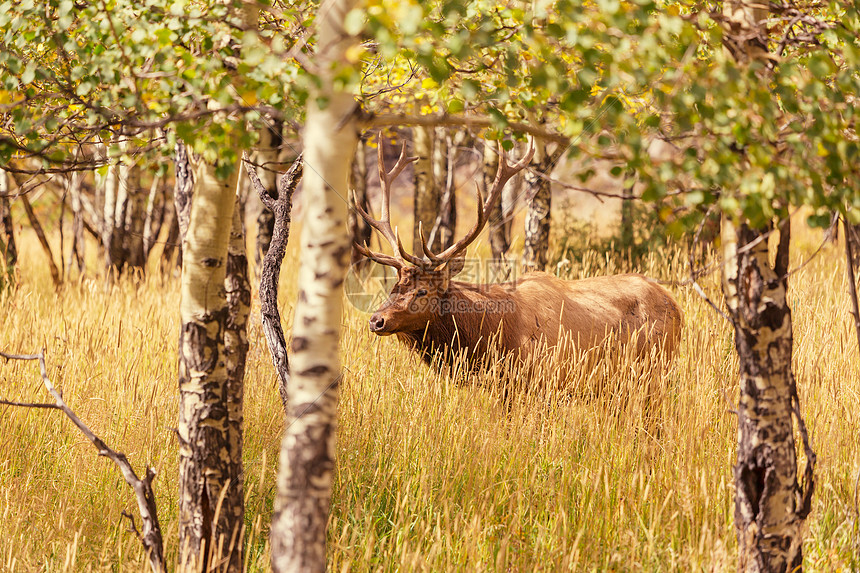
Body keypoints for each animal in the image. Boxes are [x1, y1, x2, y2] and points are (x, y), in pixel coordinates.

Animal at [352, 140, 680, 368]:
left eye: (422, 291)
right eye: (394, 287)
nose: (376, 320)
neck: (492, 333)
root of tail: (677, 307)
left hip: (656, 368)